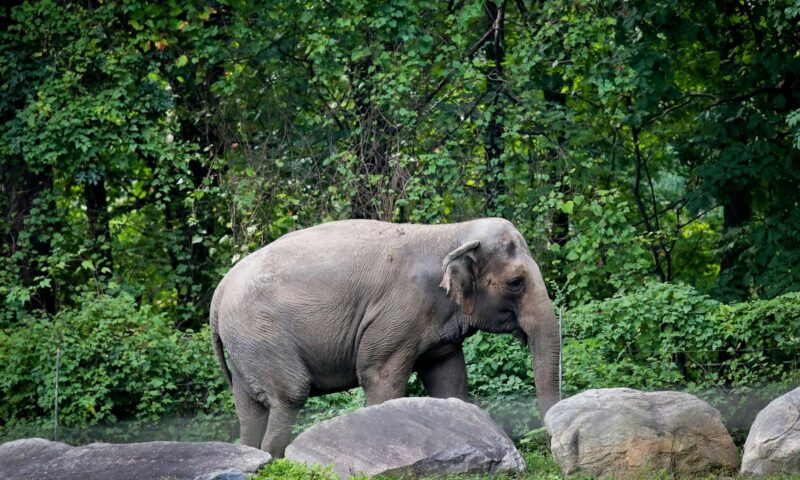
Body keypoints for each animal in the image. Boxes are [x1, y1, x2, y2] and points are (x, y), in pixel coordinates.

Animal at [210, 218, 561, 457]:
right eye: (516, 282)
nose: (548, 444)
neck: (451, 232)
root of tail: (220, 289)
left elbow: (449, 381)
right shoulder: (398, 314)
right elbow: (380, 377)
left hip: (244, 346)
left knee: (249, 409)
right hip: (262, 334)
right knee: (289, 395)